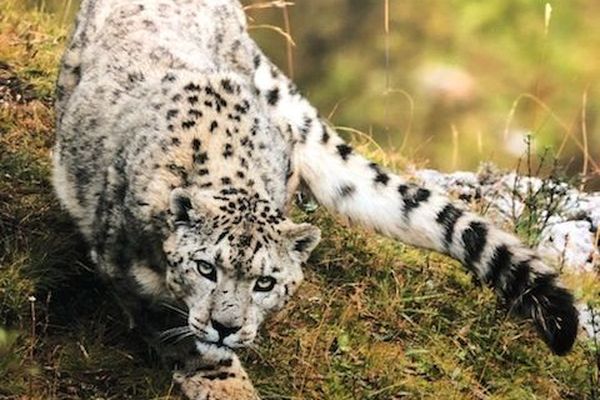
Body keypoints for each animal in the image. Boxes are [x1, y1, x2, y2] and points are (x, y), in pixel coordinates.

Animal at [54, 0, 580, 396]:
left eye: (265, 282)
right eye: (205, 267)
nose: (227, 325)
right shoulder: (128, 275)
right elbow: (192, 348)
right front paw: (225, 379)